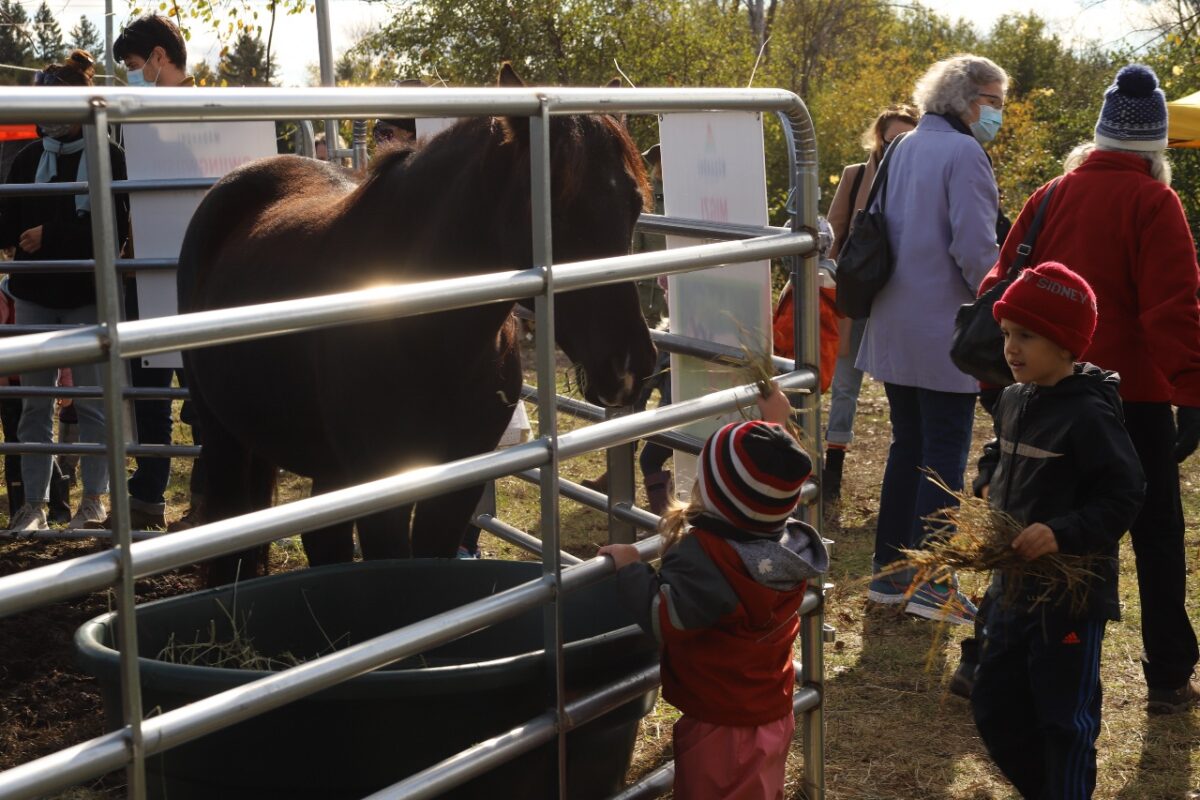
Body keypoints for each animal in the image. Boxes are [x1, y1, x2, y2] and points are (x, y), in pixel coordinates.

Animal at [177, 71, 657, 585]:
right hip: (223, 435)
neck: (430, 338)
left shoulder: (457, 484)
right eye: (556, 209)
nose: (631, 365)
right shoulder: (380, 489)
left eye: (634, 205)